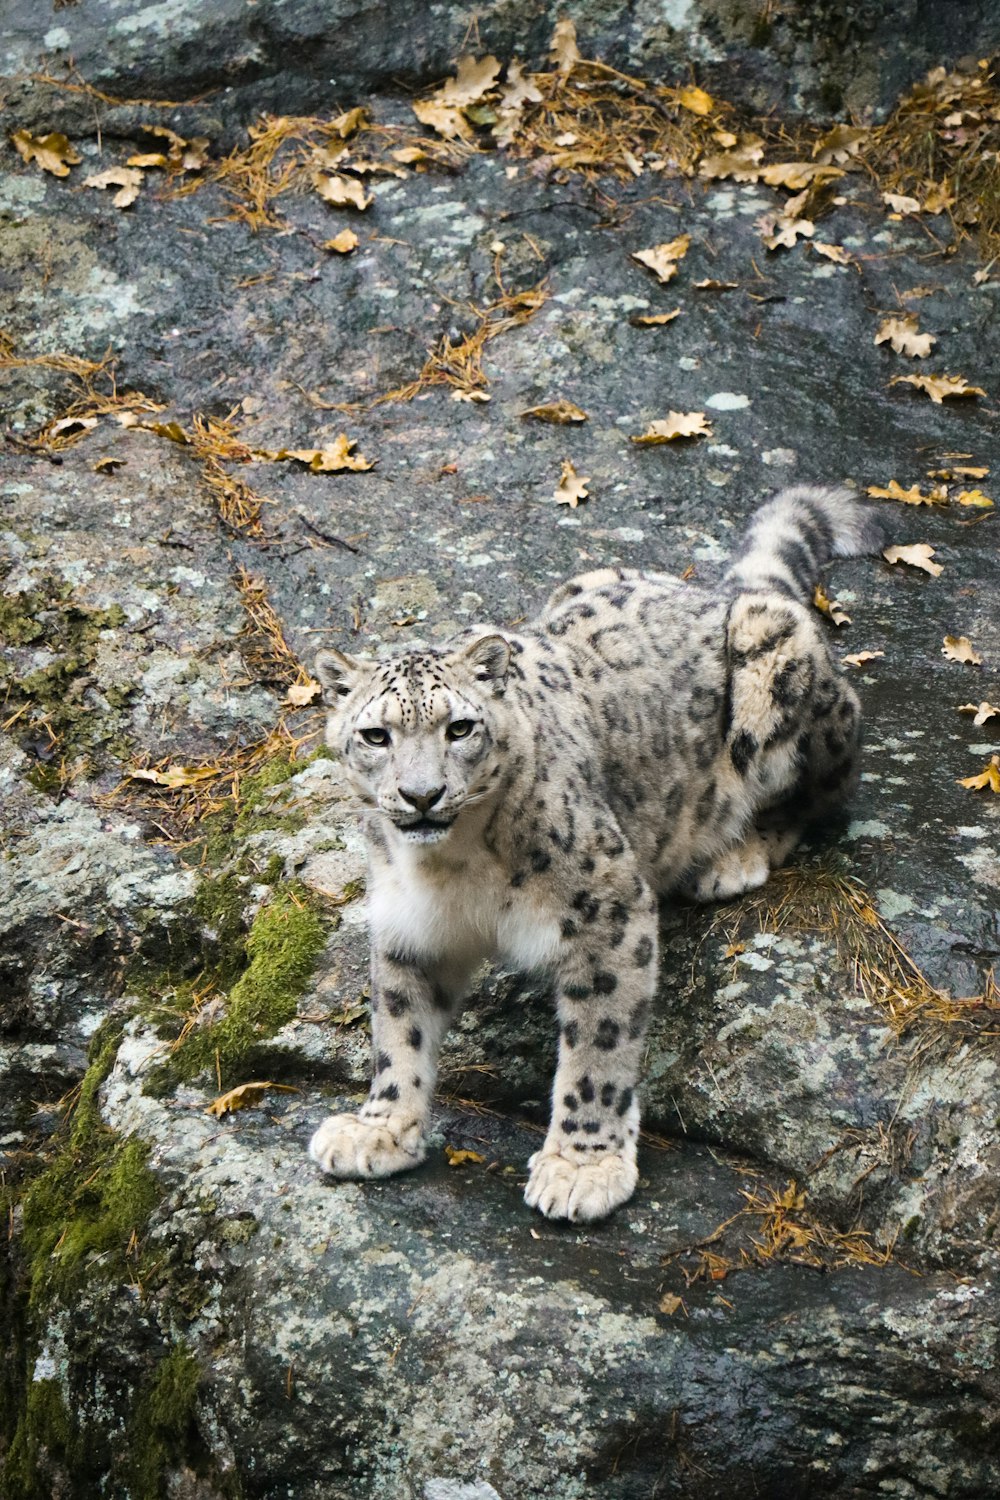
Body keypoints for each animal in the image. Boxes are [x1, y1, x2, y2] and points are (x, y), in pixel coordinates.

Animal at [308, 486, 881, 1224]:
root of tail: (719, 591)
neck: (450, 865)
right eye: (375, 736)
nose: (422, 795)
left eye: (459, 728)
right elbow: (398, 1029)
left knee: (825, 795)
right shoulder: (409, 922)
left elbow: (599, 1043)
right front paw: (380, 1128)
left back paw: (733, 856)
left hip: (780, 677)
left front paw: (582, 1167)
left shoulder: (606, 902)